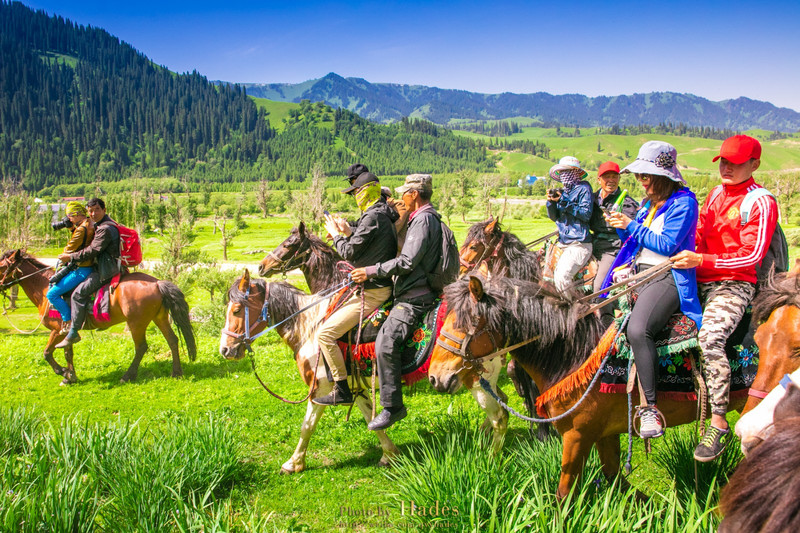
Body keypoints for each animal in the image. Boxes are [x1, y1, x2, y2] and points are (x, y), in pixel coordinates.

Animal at [0, 249, 198, 382]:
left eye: (2, 266)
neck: (45, 288)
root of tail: (157, 283)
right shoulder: (67, 333)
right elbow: (67, 352)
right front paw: (70, 376)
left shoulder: (58, 330)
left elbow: (47, 353)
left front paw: (63, 372)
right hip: (159, 318)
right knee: (172, 340)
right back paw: (176, 372)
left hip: (137, 322)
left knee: (141, 347)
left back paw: (128, 375)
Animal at [428, 274, 764, 498]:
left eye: (467, 323)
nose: (436, 377)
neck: (576, 354)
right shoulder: (605, 433)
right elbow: (619, 482)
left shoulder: (577, 435)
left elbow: (565, 495)